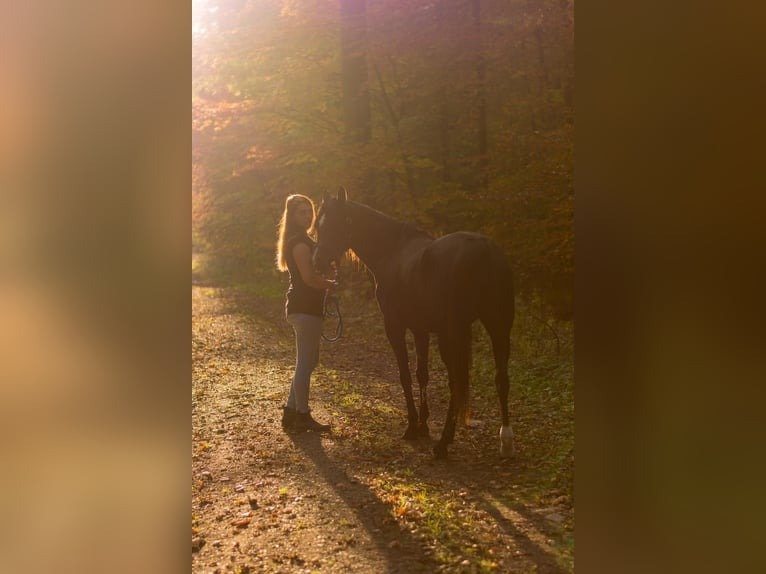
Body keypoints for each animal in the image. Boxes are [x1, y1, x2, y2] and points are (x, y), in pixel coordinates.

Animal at [313, 187, 515, 459]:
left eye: (337, 223)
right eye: (319, 225)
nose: (318, 261)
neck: (391, 251)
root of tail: (484, 250)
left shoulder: (395, 327)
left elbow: (405, 375)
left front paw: (412, 427)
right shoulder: (421, 330)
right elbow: (422, 375)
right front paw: (423, 425)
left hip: (453, 334)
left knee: (457, 382)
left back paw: (444, 443)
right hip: (498, 327)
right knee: (501, 379)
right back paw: (505, 440)